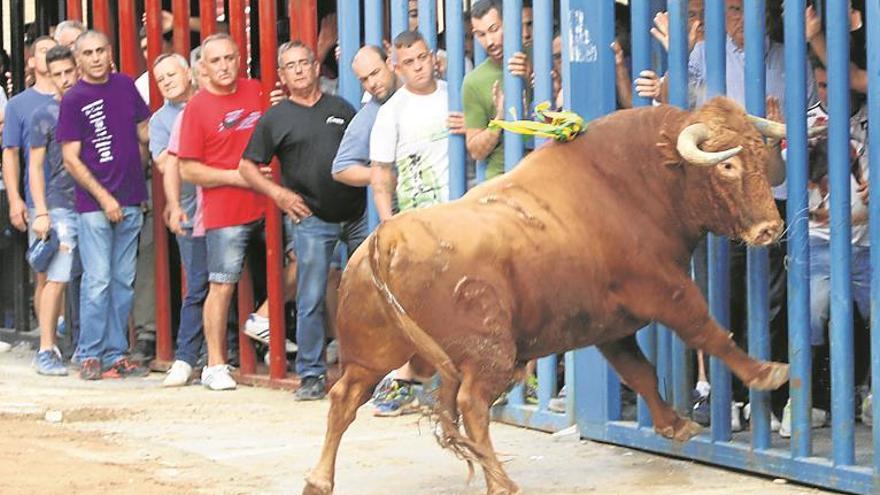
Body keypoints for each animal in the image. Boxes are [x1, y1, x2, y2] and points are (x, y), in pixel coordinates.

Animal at [302, 98, 792, 495]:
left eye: (760, 153)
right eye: (727, 166)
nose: (770, 228)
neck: (639, 181)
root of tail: (387, 237)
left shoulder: (611, 326)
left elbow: (641, 373)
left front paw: (673, 424)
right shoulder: (667, 291)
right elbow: (709, 333)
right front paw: (766, 372)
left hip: (372, 355)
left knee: (344, 398)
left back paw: (319, 480)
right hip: (489, 353)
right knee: (471, 405)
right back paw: (501, 482)